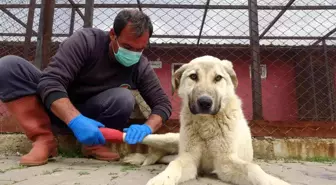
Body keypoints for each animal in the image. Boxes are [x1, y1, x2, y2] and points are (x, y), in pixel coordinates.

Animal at [122, 55, 290, 185]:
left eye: (218, 78)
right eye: (193, 76)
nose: (204, 102)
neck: (206, 124)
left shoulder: (225, 163)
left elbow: (253, 168)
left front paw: (273, 181)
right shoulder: (189, 159)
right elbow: (174, 166)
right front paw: (162, 179)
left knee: (163, 156)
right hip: (167, 139)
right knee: (155, 148)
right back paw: (132, 147)